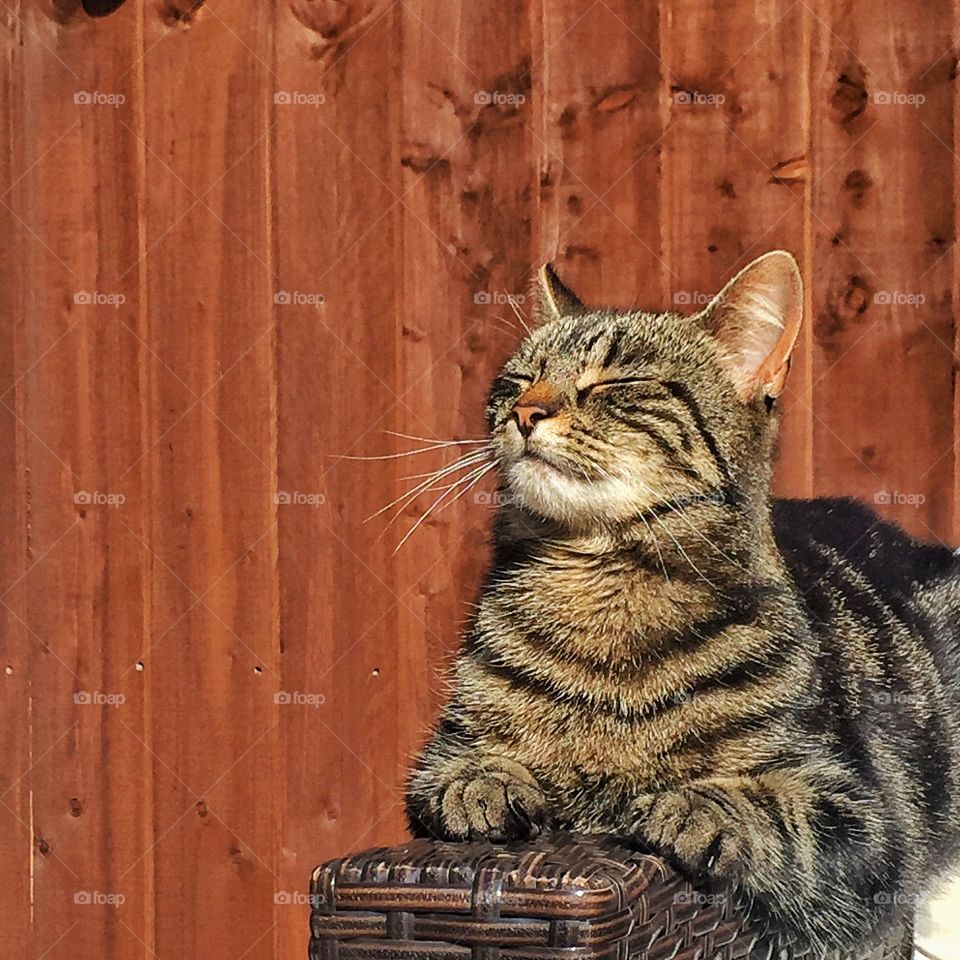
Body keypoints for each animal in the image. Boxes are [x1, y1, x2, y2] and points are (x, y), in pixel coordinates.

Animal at [404, 251, 960, 956]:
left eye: (616, 381)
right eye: (519, 378)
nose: (526, 412)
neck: (600, 583)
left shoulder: (867, 817)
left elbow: (771, 806)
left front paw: (692, 804)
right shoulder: (440, 753)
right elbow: (453, 772)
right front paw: (485, 783)